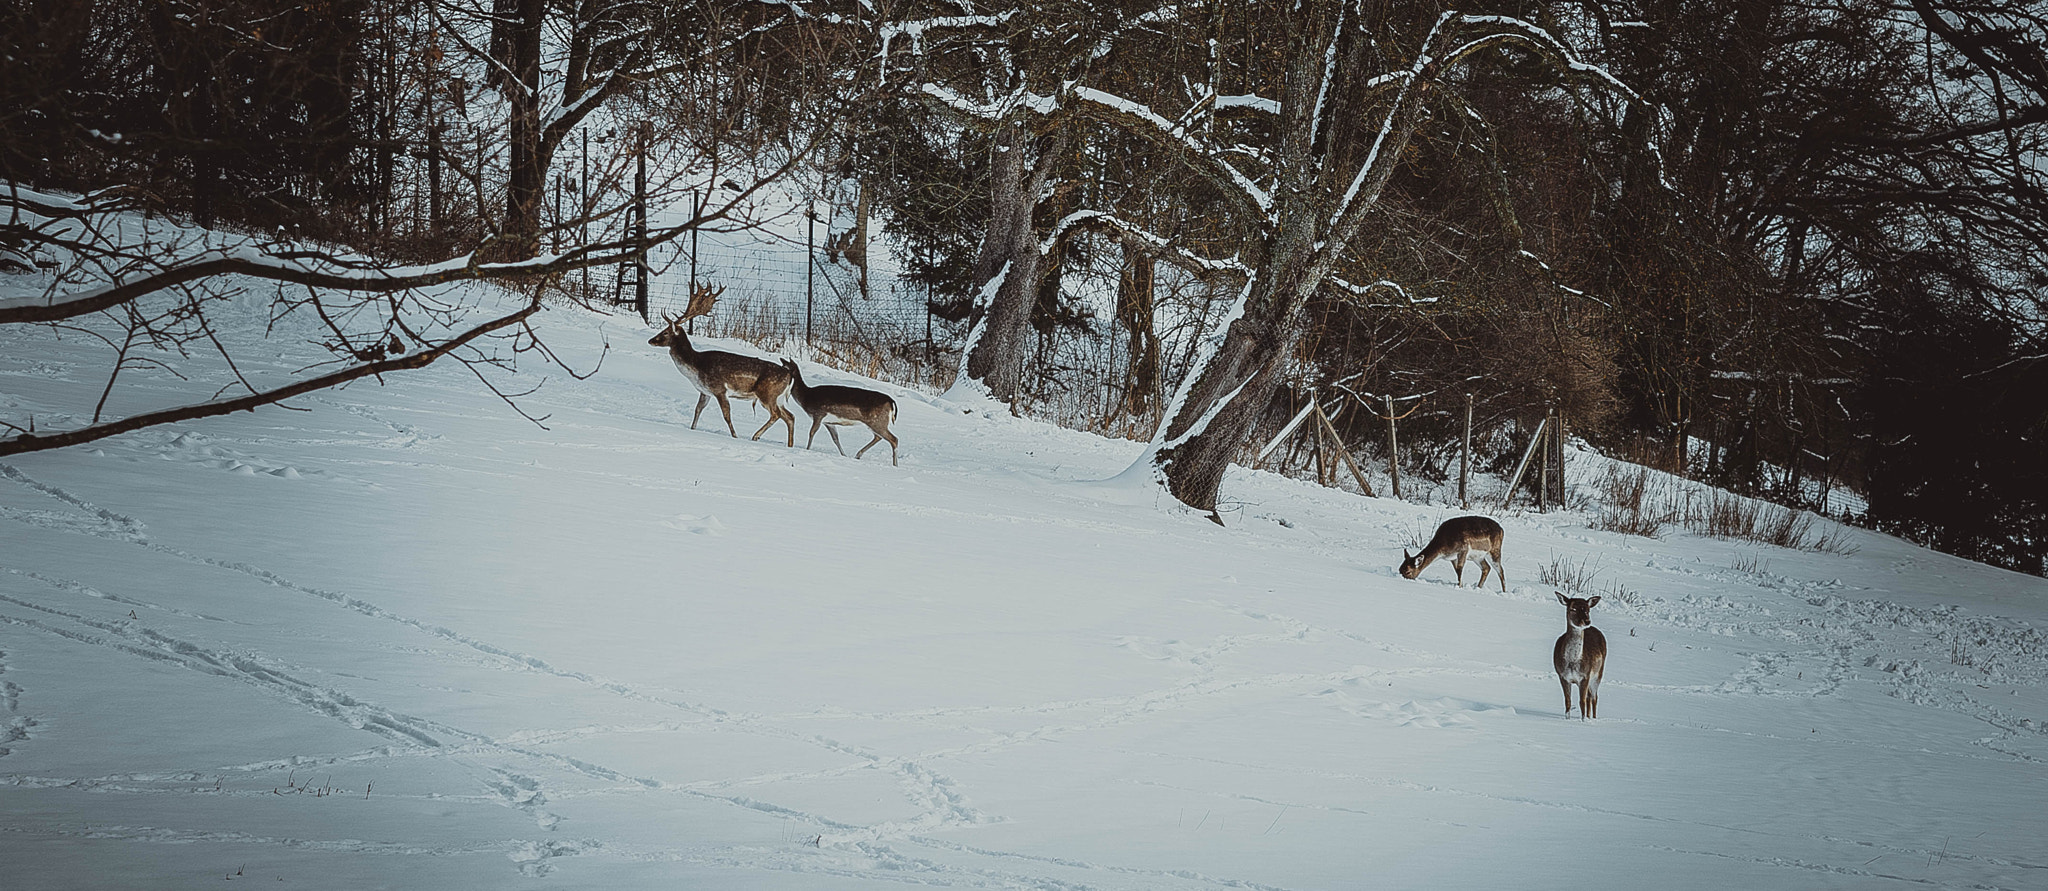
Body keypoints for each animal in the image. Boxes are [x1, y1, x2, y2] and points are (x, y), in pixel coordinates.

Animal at [643, 288, 794, 450]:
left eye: (665, 332)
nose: (650, 340)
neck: (696, 367)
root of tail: (790, 375)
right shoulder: (705, 391)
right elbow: (697, 410)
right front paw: (692, 429)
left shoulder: (719, 388)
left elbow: (726, 415)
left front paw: (735, 436)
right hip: (778, 398)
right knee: (790, 416)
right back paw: (789, 445)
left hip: (767, 393)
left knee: (776, 414)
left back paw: (755, 436)